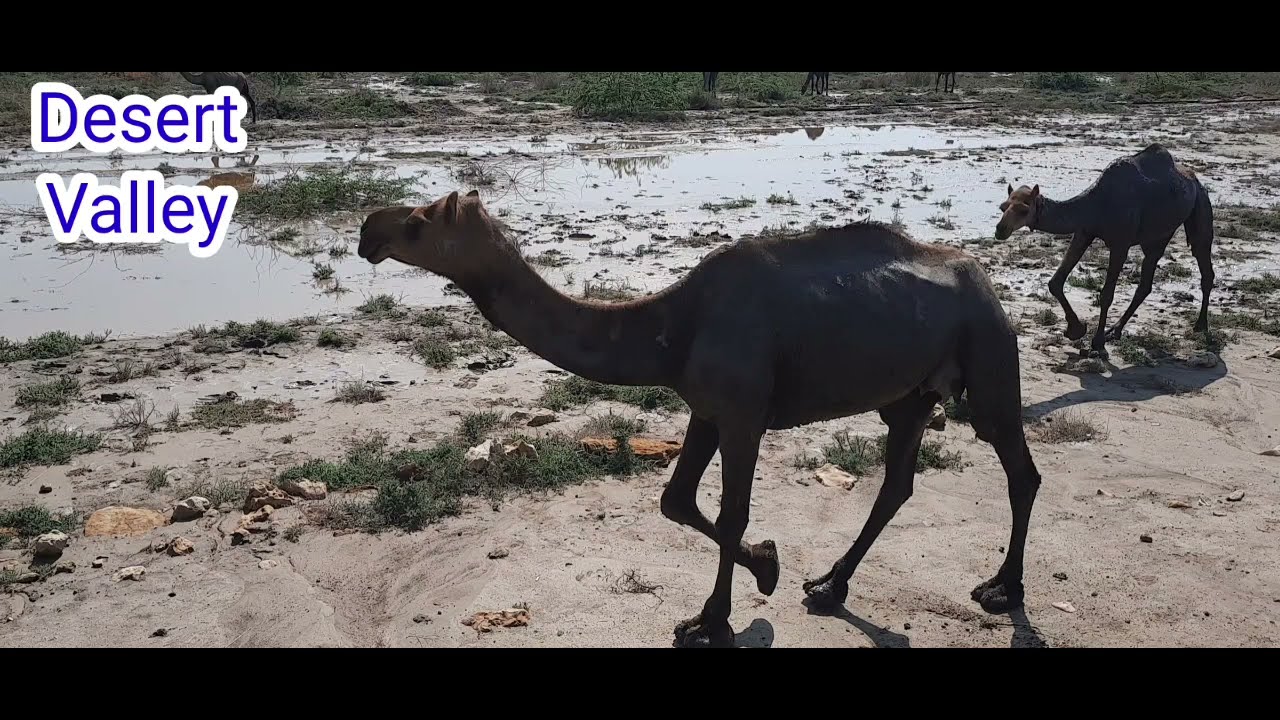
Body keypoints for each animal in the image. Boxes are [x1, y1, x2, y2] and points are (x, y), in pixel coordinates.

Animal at [358, 189, 1044, 648]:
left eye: (415, 224)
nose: (368, 231)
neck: (672, 327)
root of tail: (986, 283)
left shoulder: (743, 413)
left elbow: (731, 511)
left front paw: (716, 615)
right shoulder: (705, 410)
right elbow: (676, 499)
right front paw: (768, 568)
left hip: (987, 352)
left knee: (1020, 469)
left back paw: (1002, 589)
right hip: (909, 393)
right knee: (898, 480)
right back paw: (828, 586)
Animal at [995, 143, 1215, 356]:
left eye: (1024, 210)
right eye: (1002, 206)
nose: (1000, 229)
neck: (1095, 204)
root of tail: (1194, 180)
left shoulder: (1120, 245)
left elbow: (1107, 294)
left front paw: (1097, 342)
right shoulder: (1084, 232)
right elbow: (1055, 282)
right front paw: (1076, 329)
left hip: (1201, 205)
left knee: (1203, 259)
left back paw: (1201, 325)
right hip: (1157, 236)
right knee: (1146, 280)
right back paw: (1115, 330)